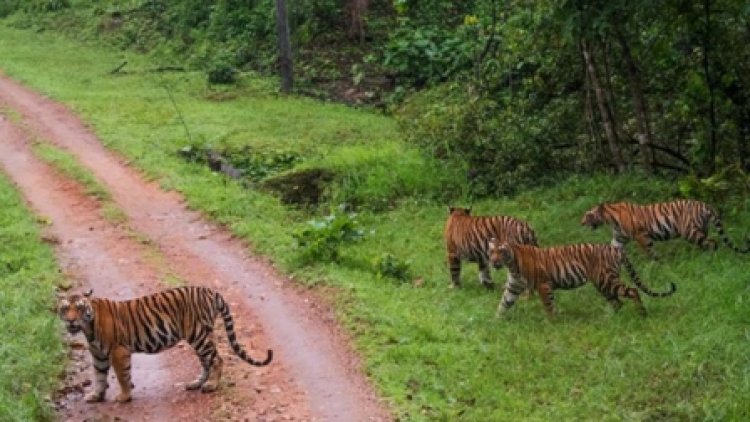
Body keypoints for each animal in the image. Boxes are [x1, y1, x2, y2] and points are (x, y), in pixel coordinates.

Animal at [55, 286, 274, 402]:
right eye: (66, 309)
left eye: (79, 308)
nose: (72, 321)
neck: (88, 328)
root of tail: (209, 291)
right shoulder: (98, 354)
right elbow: (99, 376)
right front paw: (96, 395)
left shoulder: (119, 351)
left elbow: (122, 376)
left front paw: (124, 397)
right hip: (202, 337)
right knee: (207, 361)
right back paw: (196, 384)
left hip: (198, 335)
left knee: (216, 359)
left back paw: (211, 385)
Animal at [490, 239, 680, 318]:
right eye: (492, 251)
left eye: (501, 251)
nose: (494, 261)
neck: (511, 265)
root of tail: (616, 249)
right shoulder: (513, 286)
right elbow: (503, 303)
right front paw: (496, 321)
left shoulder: (544, 285)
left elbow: (548, 305)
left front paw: (552, 322)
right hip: (603, 283)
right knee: (617, 302)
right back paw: (610, 318)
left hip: (606, 279)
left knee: (632, 291)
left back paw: (642, 314)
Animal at [580, 200, 750, 258]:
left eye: (588, 215)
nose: (581, 223)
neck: (610, 219)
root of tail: (705, 205)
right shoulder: (619, 237)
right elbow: (613, 247)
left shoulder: (642, 235)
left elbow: (650, 251)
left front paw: (658, 263)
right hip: (701, 229)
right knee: (707, 242)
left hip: (690, 231)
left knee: (712, 242)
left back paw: (711, 258)